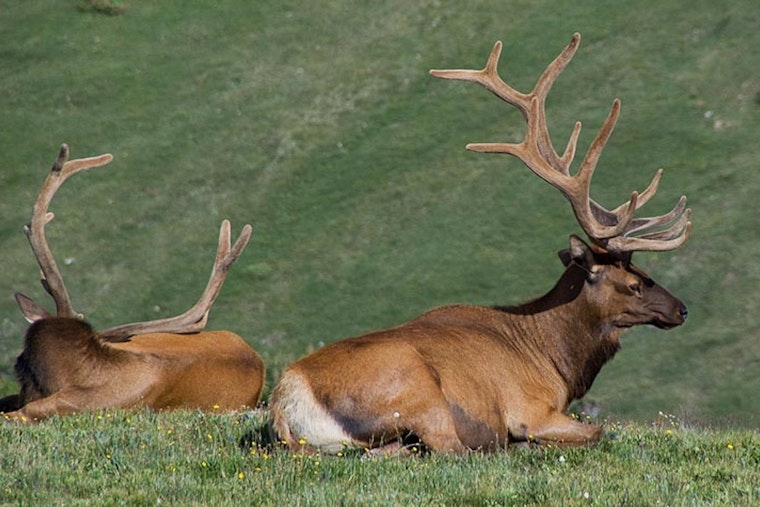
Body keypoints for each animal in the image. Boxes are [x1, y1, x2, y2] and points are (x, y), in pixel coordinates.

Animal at [269, 33, 691, 454]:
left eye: (645, 272)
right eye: (635, 284)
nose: (682, 309)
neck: (555, 361)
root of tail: (287, 404)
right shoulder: (530, 408)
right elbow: (600, 431)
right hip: (420, 392)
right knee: (447, 449)